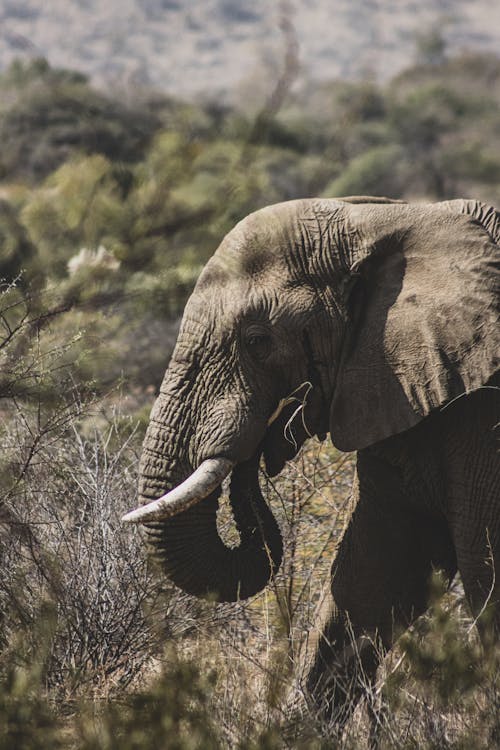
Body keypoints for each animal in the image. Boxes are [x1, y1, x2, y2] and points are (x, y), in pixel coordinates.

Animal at [122, 197, 500, 724]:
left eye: (257, 341)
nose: (263, 443)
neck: (391, 219)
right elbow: (373, 573)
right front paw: (298, 730)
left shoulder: (483, 415)